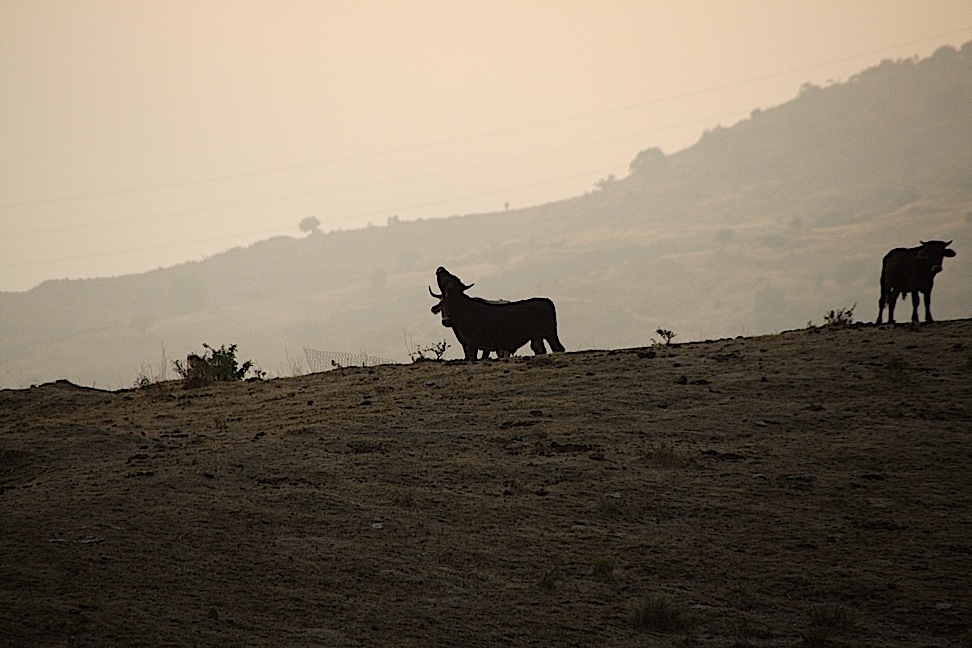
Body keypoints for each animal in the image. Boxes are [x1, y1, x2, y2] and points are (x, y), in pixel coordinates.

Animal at [430, 268, 564, 362]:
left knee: (558, 348)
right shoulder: (465, 344)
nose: (440, 268)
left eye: (453, 277)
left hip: (550, 332)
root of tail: (547, 301)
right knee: (539, 349)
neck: (460, 312)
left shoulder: (473, 342)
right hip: (536, 335)